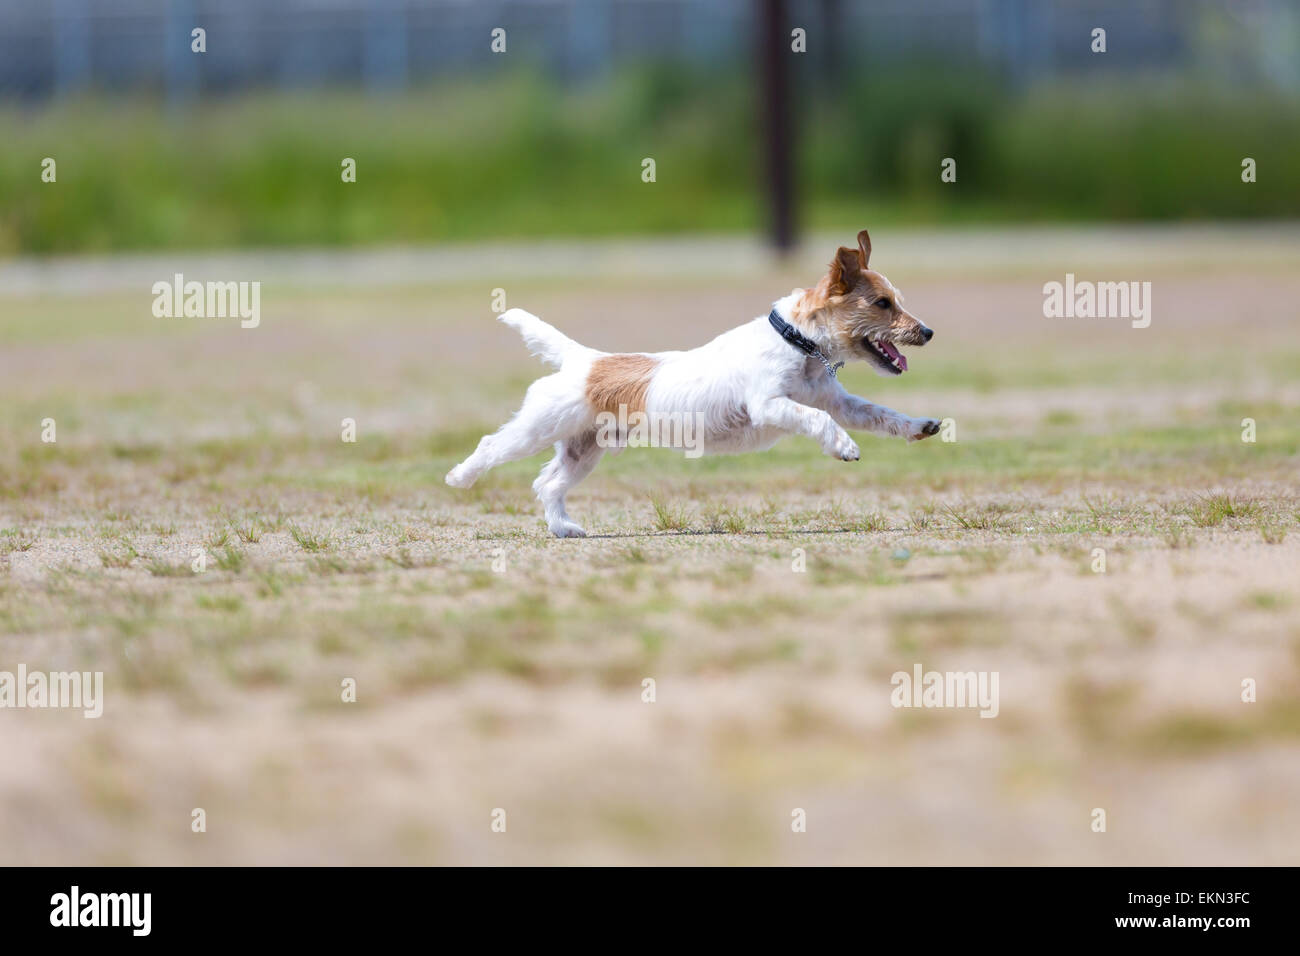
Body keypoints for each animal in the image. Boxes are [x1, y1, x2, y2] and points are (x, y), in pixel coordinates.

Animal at [449, 227, 946, 535]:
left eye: (896, 300)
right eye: (882, 303)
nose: (927, 331)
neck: (797, 342)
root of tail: (584, 360)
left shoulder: (839, 403)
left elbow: (880, 414)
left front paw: (919, 426)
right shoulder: (771, 405)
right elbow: (818, 421)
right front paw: (844, 446)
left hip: (584, 450)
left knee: (548, 484)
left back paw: (564, 528)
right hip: (536, 430)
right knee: (491, 447)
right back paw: (460, 476)